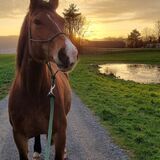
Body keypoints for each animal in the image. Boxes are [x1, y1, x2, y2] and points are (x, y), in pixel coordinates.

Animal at [8, 0, 78, 160]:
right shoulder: (19, 137)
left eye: (62, 21)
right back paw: (37, 149)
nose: (70, 54)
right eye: (37, 21)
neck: (32, 92)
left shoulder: (60, 134)